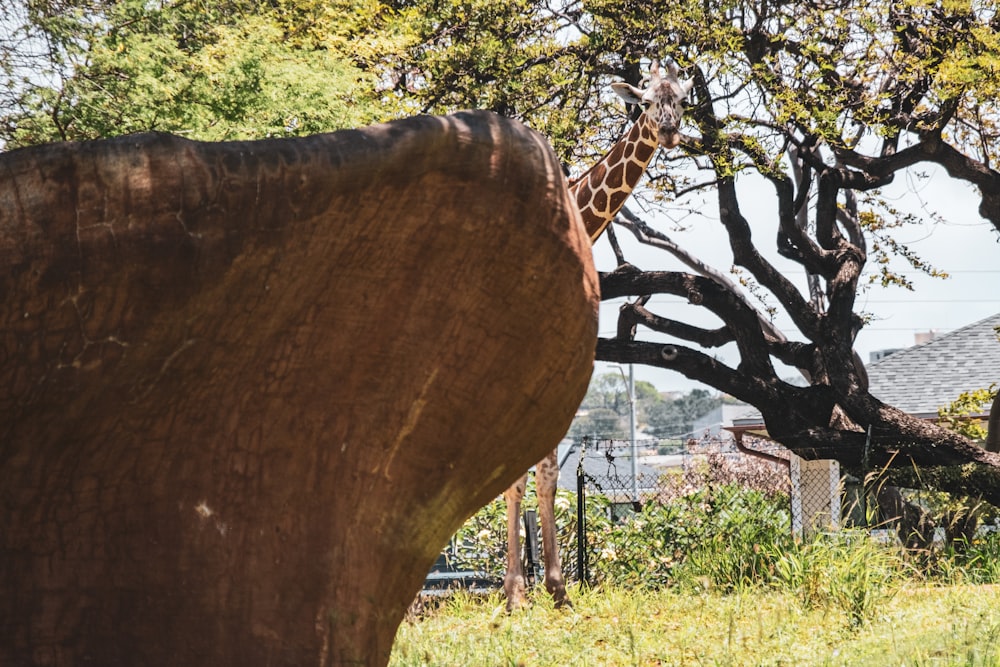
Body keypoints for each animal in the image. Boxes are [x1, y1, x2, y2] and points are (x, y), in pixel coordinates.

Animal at [504, 60, 692, 612]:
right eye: (646, 103)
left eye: (681, 100)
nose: (669, 132)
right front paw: (516, 595)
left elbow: (546, 471)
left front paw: (557, 589)